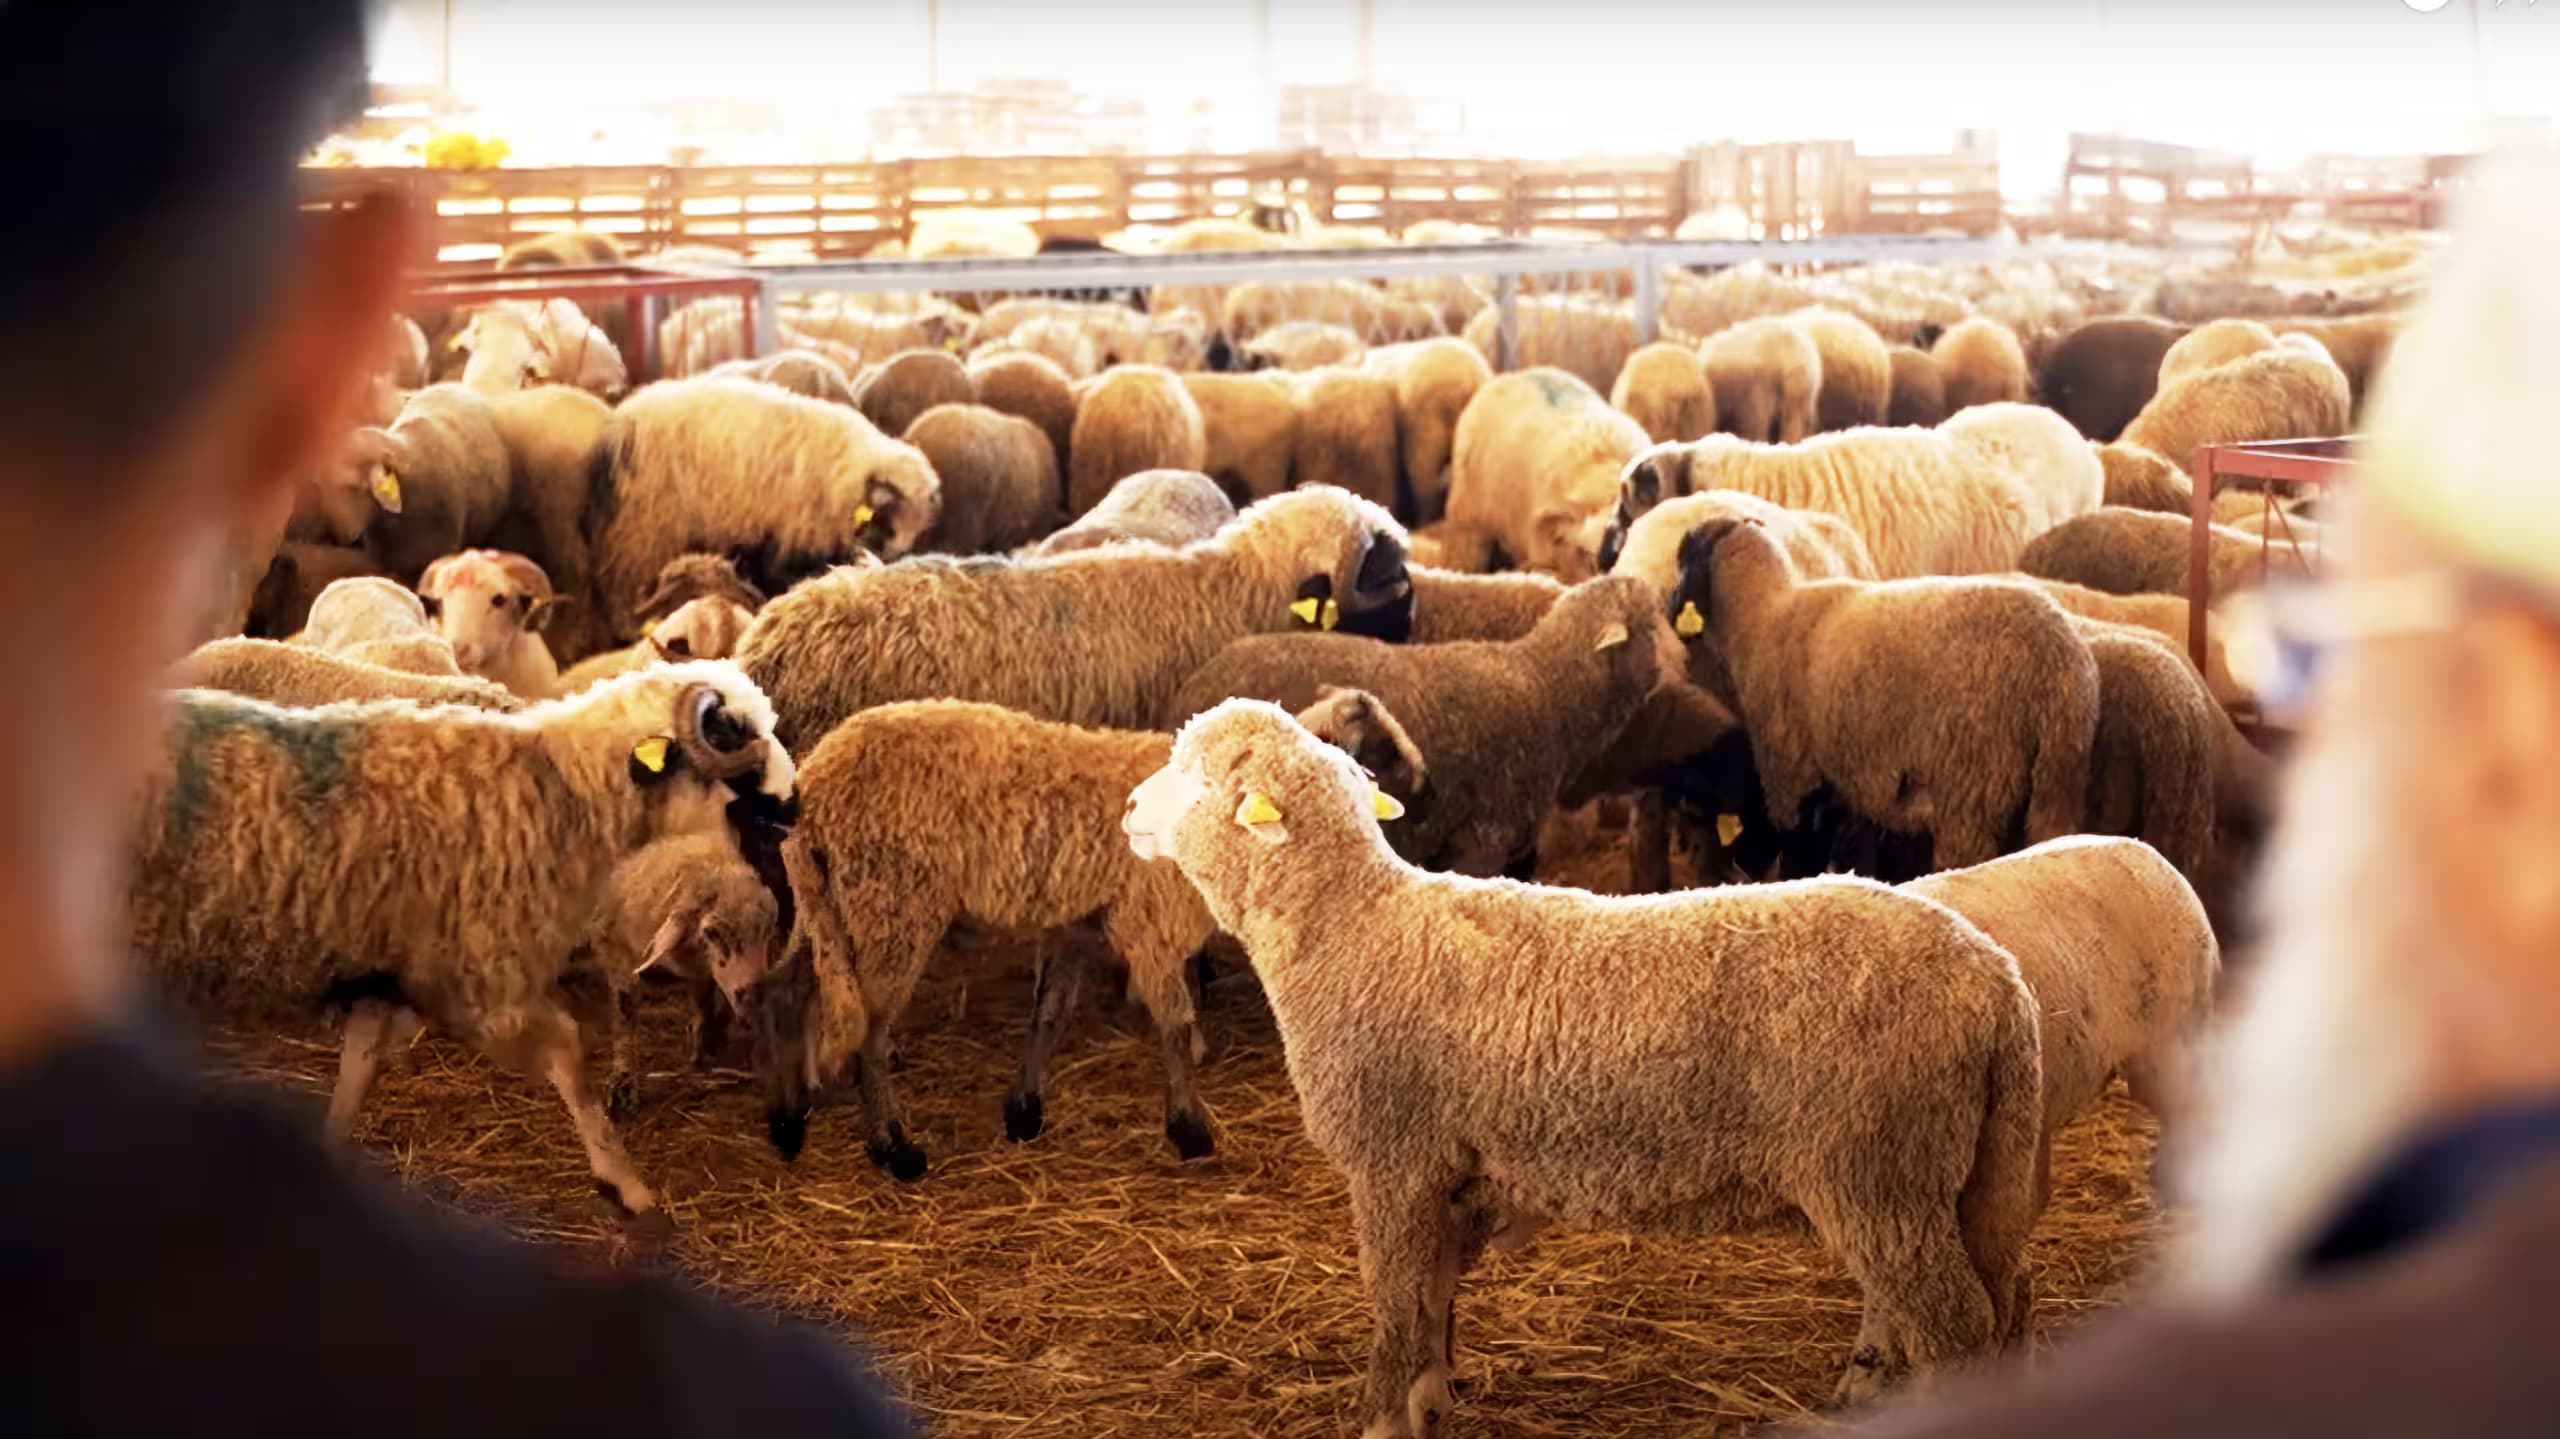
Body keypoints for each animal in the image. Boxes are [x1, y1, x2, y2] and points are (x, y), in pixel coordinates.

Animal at [133, 665, 796, 1219]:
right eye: (734, 735)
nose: (795, 805)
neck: (560, 793)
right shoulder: (482, 977)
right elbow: (570, 1055)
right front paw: (625, 1183)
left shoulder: (389, 966)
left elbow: (359, 1065)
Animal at [590, 376, 941, 638]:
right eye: (888, 519)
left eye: (914, 530)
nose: (890, 557)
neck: (845, 471)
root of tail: (624, 421)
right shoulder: (788, 538)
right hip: (646, 524)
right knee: (623, 579)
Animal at [1120, 699, 2045, 1424]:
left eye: (1196, 778)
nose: (1128, 806)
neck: (1354, 930)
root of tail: (1997, 982)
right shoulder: (1450, 1174)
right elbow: (1431, 1308)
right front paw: (1432, 1402)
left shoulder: (1394, 1162)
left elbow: (1395, 1313)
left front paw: (1385, 1416)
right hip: (1959, 1176)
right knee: (2001, 1302)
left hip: (1880, 1168)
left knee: (1957, 1328)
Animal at [1670, 516, 2100, 867]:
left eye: (1684, 561)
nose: (1671, 605)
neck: (1764, 615)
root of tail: (2058, 662)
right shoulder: (1838, 790)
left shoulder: (1790, 777)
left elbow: (1797, 857)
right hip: (2057, 782)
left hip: (1973, 785)